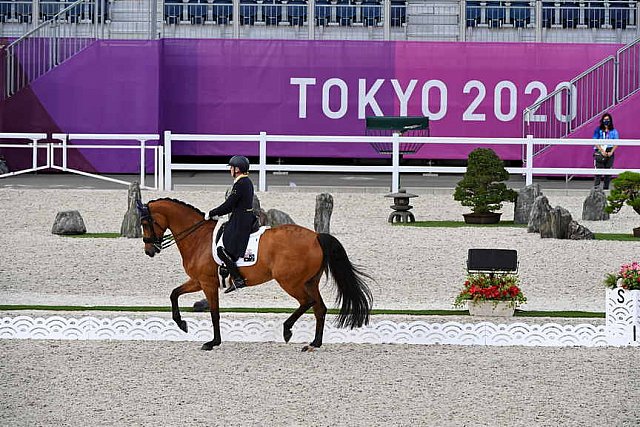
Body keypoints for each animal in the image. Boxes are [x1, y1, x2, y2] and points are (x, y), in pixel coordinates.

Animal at [138, 197, 372, 352]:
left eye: (145, 223)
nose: (149, 251)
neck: (198, 237)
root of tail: (316, 236)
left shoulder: (207, 283)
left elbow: (214, 312)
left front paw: (212, 342)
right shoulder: (198, 281)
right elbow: (174, 294)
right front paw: (182, 324)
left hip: (290, 282)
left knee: (308, 303)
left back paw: (287, 330)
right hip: (309, 282)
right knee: (319, 308)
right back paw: (314, 343)